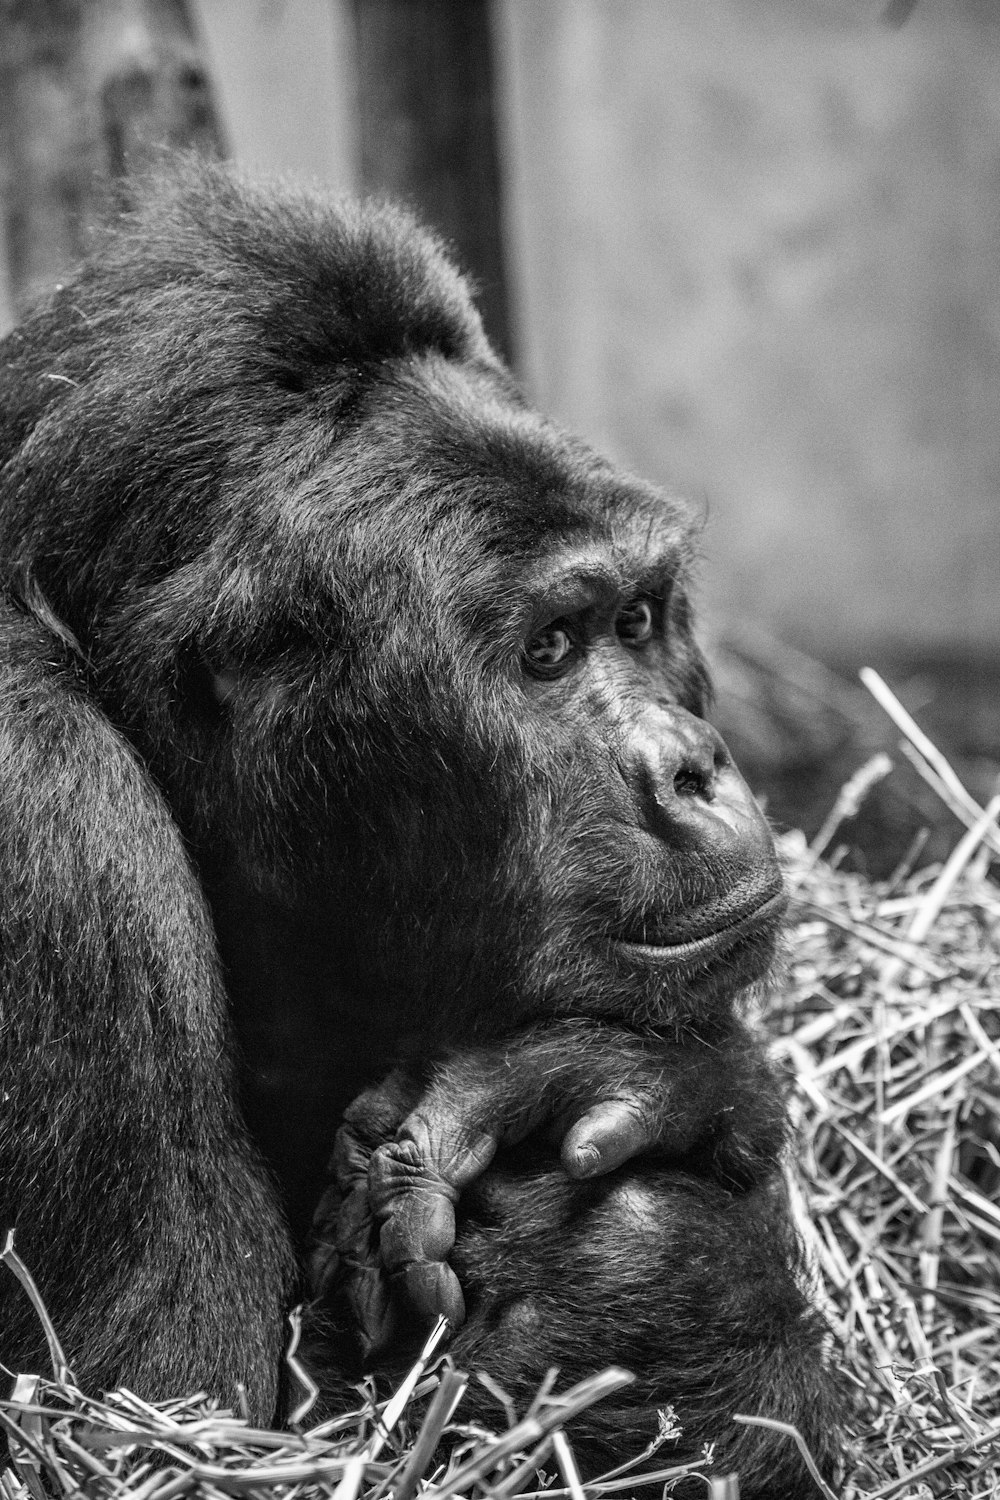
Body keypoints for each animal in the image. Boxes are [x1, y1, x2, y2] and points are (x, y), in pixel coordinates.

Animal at [0, 158, 845, 1494]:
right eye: (546, 651)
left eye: (636, 619)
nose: (690, 768)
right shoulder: (49, 830)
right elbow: (169, 1425)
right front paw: (661, 1275)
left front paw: (673, 1089)